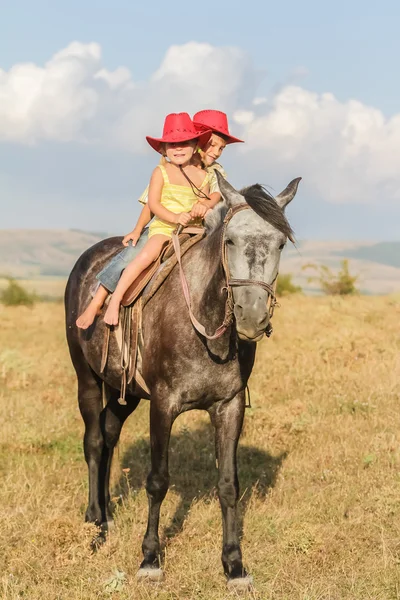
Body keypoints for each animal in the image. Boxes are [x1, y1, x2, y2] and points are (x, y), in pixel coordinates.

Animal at [65, 173, 300, 592]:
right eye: (230, 240)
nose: (252, 317)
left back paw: (107, 512)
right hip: (87, 377)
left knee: (108, 433)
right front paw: (150, 560)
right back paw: (95, 524)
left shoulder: (229, 406)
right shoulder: (163, 404)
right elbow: (158, 481)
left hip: (126, 392)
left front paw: (234, 565)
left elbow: (229, 484)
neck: (205, 324)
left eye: (280, 243)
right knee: (93, 441)